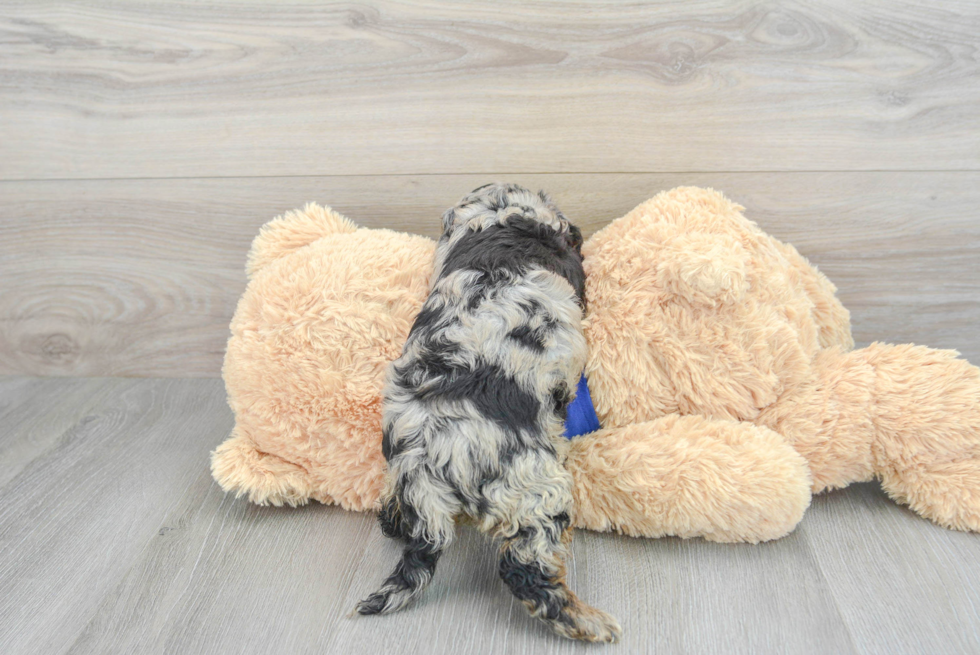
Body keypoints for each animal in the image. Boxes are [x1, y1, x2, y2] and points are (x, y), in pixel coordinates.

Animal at [356, 182, 624, 644]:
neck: (500, 217)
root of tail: (427, 458)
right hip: (536, 488)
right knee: (525, 570)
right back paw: (589, 622)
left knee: (398, 520)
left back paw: (391, 514)